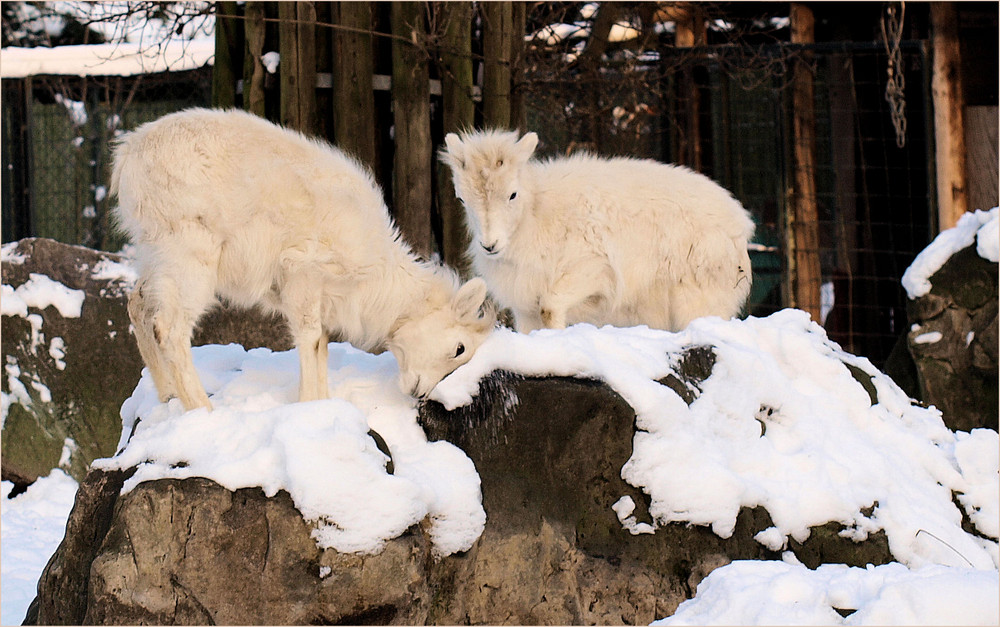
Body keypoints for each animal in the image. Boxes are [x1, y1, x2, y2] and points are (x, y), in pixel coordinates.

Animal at [111, 108, 494, 412]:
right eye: (459, 348)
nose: (420, 393)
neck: (377, 277)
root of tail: (128, 156)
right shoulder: (303, 280)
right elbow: (310, 341)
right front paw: (309, 405)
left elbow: (321, 346)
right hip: (189, 259)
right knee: (170, 330)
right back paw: (204, 410)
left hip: (156, 257)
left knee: (138, 306)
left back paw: (168, 397)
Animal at [442, 129, 752, 334]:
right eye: (461, 199)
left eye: (512, 194)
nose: (489, 245)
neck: (537, 216)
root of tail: (741, 225)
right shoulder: (524, 306)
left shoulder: (591, 269)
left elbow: (551, 309)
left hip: (697, 303)